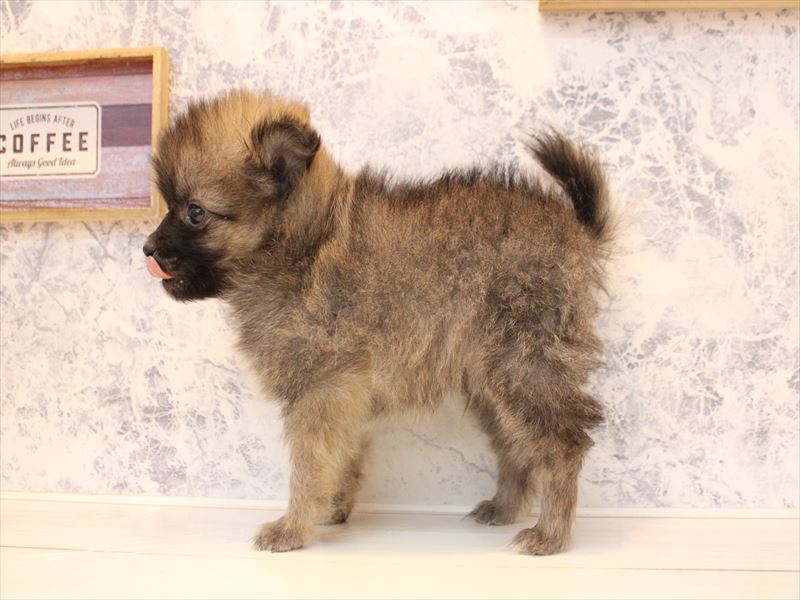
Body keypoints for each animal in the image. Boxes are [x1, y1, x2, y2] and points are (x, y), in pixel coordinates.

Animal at [143, 90, 612, 555]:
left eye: (195, 212)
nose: (147, 248)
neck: (303, 245)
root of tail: (578, 228)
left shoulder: (322, 388)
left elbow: (309, 466)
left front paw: (292, 528)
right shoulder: (343, 395)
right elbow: (339, 458)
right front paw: (331, 510)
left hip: (525, 364)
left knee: (562, 445)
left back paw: (550, 534)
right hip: (495, 381)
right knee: (516, 445)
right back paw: (504, 508)